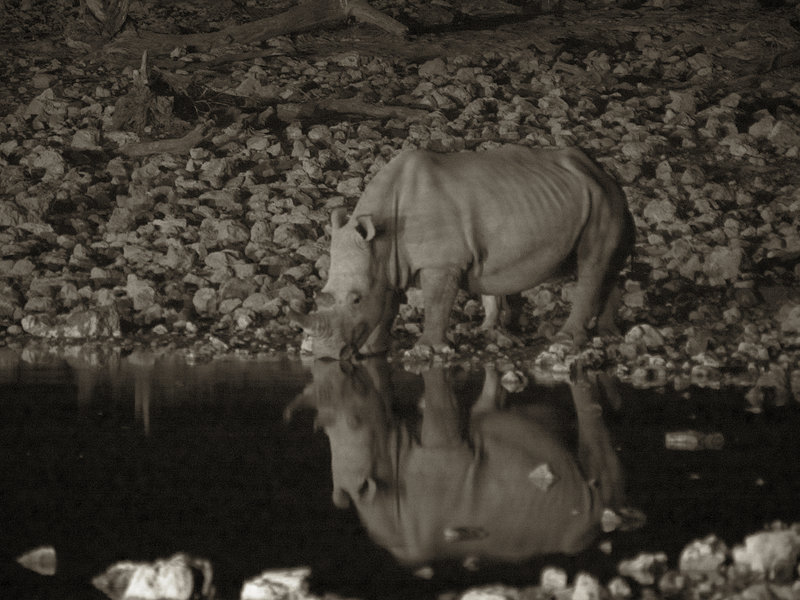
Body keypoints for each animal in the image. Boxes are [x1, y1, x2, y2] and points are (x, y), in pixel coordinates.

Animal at [295, 145, 635, 359]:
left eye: (355, 299)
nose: (328, 356)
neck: (380, 236)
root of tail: (601, 171)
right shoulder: (388, 262)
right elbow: (387, 306)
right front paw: (372, 350)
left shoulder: (440, 263)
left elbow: (436, 303)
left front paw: (426, 348)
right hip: (592, 195)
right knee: (605, 266)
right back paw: (609, 334)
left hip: (602, 199)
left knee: (591, 262)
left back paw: (565, 341)